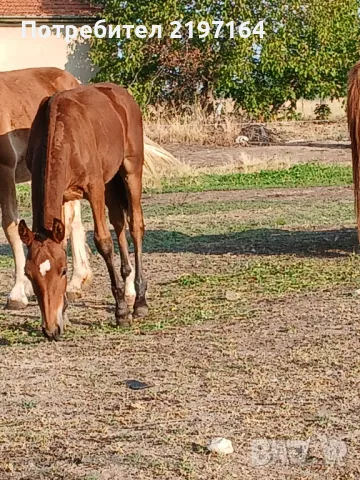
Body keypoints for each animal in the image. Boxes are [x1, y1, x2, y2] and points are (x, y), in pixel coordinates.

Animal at [19, 82, 148, 340]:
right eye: (28, 274)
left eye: (63, 271)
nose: (50, 330)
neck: (62, 133)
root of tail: (122, 94)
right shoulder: (64, 195)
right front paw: (64, 314)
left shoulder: (94, 187)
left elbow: (103, 242)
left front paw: (121, 313)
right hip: (111, 181)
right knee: (119, 222)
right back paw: (127, 279)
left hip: (130, 169)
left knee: (135, 225)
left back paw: (139, 302)